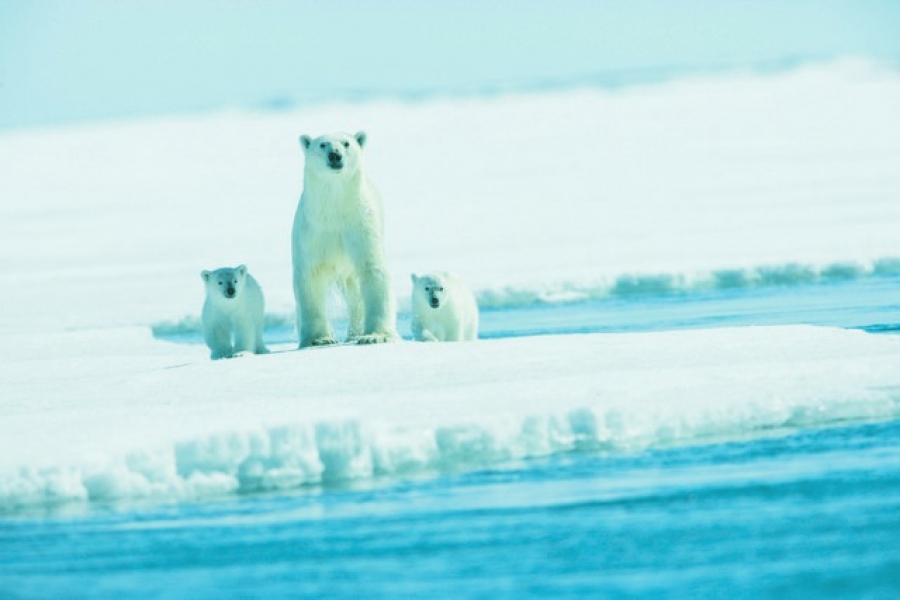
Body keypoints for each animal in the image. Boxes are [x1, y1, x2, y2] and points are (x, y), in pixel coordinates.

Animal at [292, 131, 398, 346]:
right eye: (322, 144)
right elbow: (310, 276)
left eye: (346, 143)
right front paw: (319, 338)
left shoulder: (360, 225)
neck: (334, 210)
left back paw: (354, 333)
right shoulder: (311, 233)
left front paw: (375, 336)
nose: (335, 155)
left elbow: (372, 269)